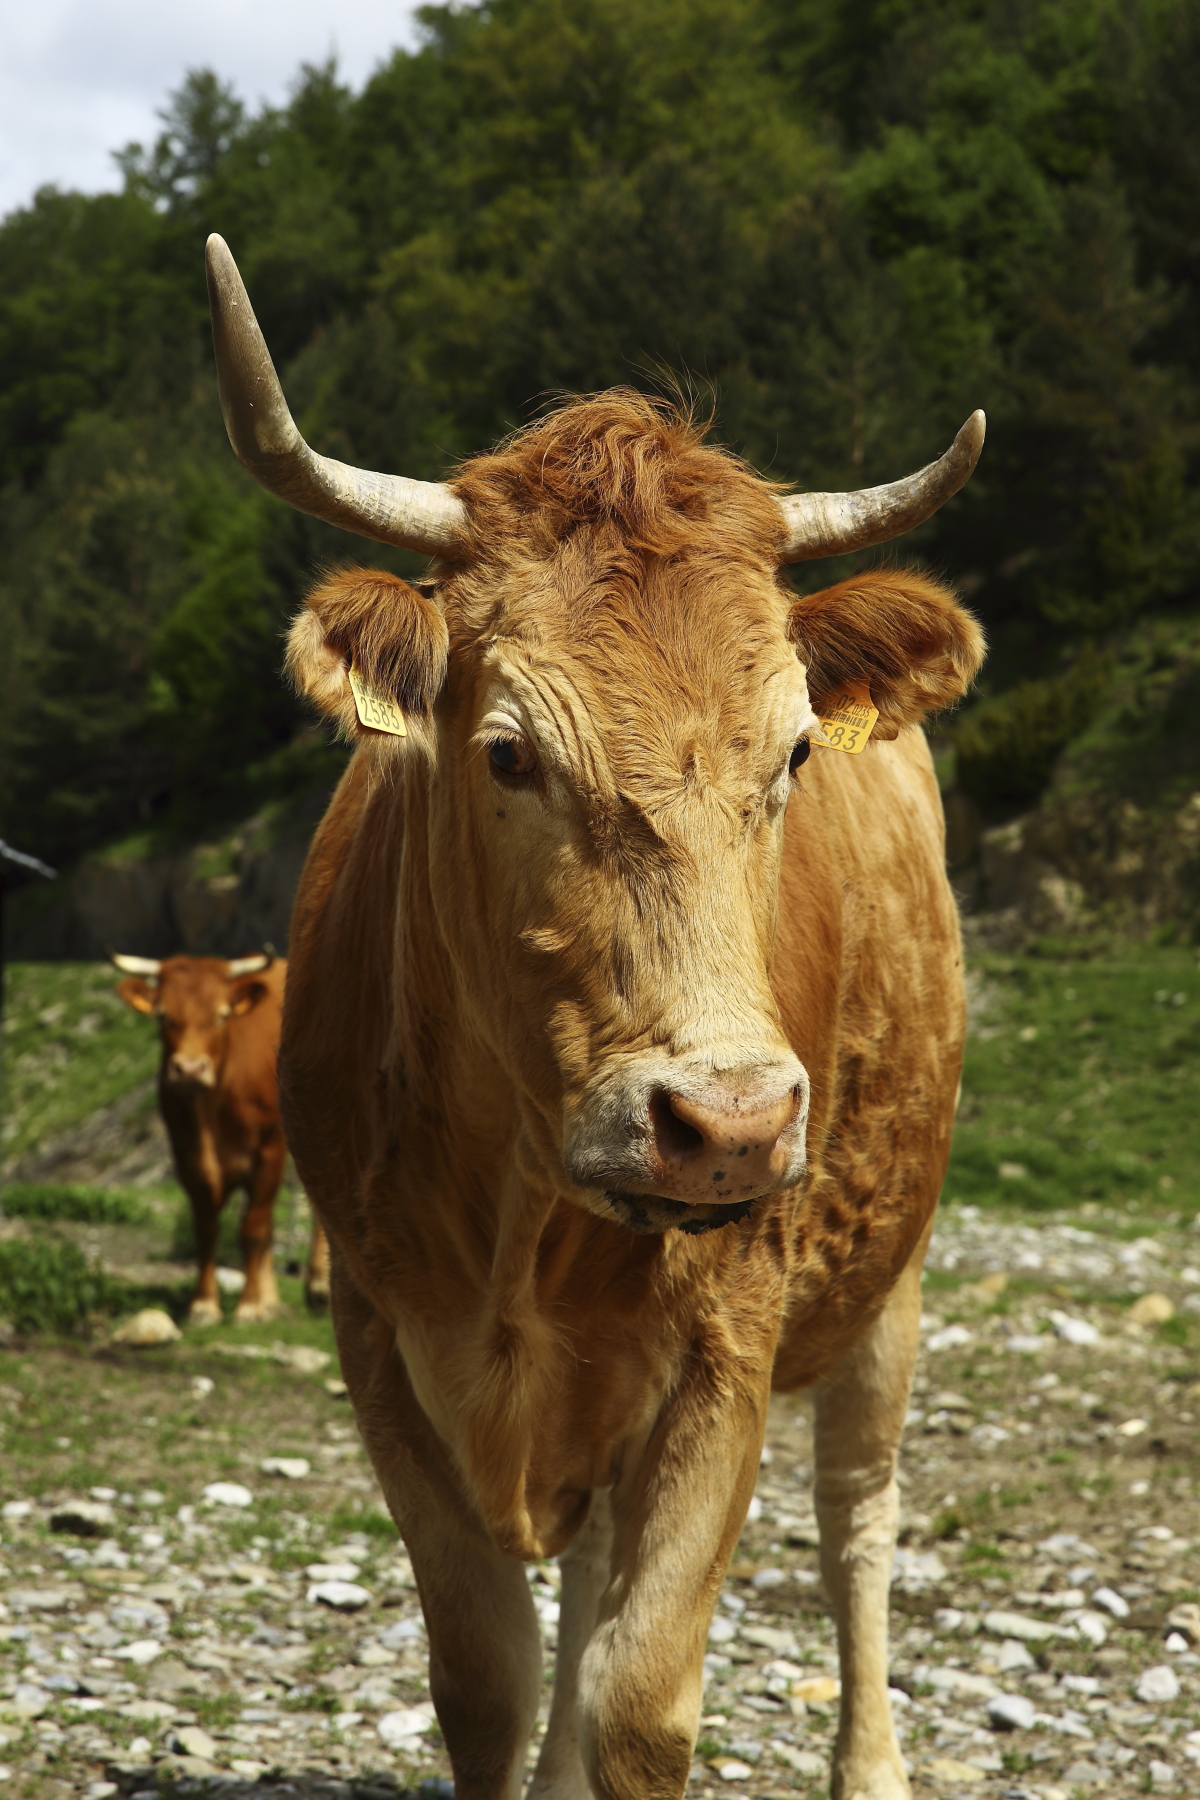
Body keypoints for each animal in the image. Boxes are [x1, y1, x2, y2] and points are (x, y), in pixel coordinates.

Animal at [108, 943, 329, 1324]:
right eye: (163, 1016)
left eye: (222, 1016)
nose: (190, 1069)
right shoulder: (186, 1153)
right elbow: (207, 1227)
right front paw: (205, 1304)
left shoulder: (269, 1148)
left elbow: (252, 1227)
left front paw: (249, 1305)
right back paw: (273, 1297)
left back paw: (318, 1287)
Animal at [211, 235, 993, 1800]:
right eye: (508, 753)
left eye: (795, 752)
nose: (731, 1123)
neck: (524, 1199)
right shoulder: (379, 1333)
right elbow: (492, 1675)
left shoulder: (730, 1342)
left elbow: (640, 1692)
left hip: (890, 1274)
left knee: (858, 1524)